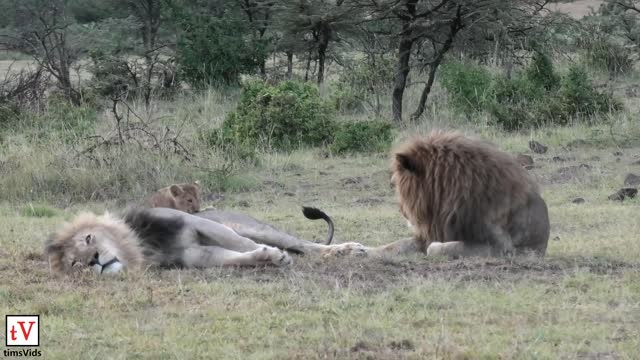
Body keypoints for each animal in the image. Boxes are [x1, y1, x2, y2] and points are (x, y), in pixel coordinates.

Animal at [362, 131, 548, 258]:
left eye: (396, 186)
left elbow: (441, 247)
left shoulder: (501, 247)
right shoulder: (435, 230)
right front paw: (360, 250)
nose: (401, 211)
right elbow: (394, 245)